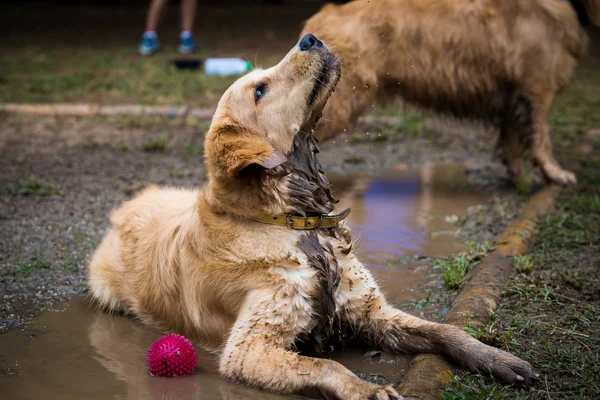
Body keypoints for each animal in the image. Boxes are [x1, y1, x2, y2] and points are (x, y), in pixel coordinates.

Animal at [88, 35, 536, 400]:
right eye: (260, 89)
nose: (310, 38)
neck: (296, 225)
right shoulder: (247, 348)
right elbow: (324, 363)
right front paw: (365, 389)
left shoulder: (372, 311)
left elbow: (446, 330)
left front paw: (494, 357)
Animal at [300, 0, 596, 184]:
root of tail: (318, 20)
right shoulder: (537, 88)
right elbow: (541, 136)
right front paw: (554, 173)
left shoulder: (513, 93)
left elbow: (512, 139)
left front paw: (518, 178)